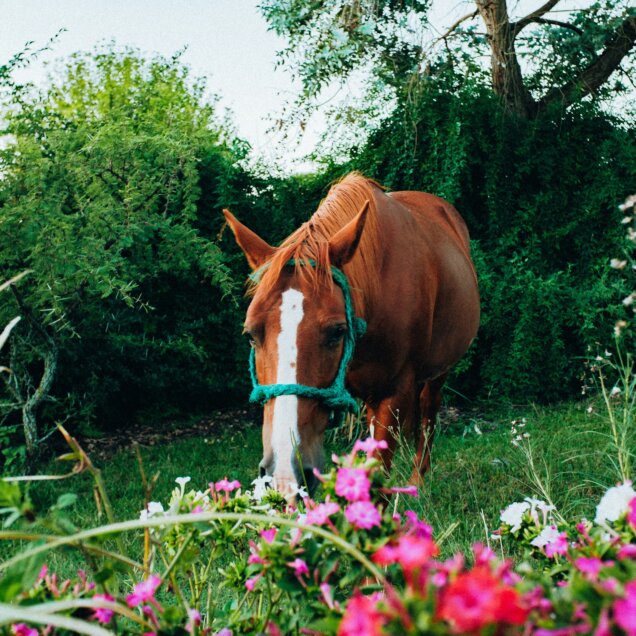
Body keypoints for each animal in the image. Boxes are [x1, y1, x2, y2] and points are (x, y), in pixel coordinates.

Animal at [224, 173, 476, 496]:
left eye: (336, 332)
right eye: (251, 334)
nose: (284, 472)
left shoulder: (395, 391)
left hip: (439, 371)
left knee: (429, 411)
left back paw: (418, 479)